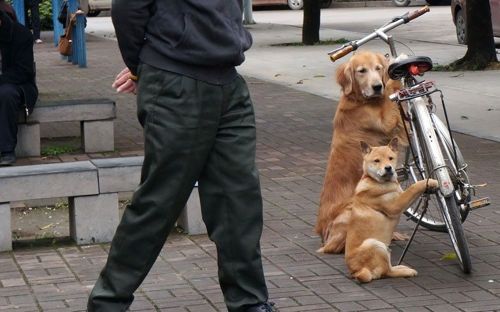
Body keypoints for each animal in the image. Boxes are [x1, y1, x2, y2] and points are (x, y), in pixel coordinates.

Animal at [318, 50, 408, 254]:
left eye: (378, 68)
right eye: (362, 71)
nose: (377, 86)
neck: (360, 100)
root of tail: (324, 238)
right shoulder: (386, 122)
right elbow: (391, 92)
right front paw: (397, 63)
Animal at [344, 139, 438, 282]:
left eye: (390, 158)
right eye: (377, 160)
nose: (388, 168)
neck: (375, 180)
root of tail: (356, 272)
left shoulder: (401, 198)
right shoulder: (396, 205)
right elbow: (413, 187)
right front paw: (429, 181)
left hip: (384, 249)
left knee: (388, 267)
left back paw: (402, 267)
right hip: (375, 244)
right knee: (386, 272)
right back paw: (406, 271)